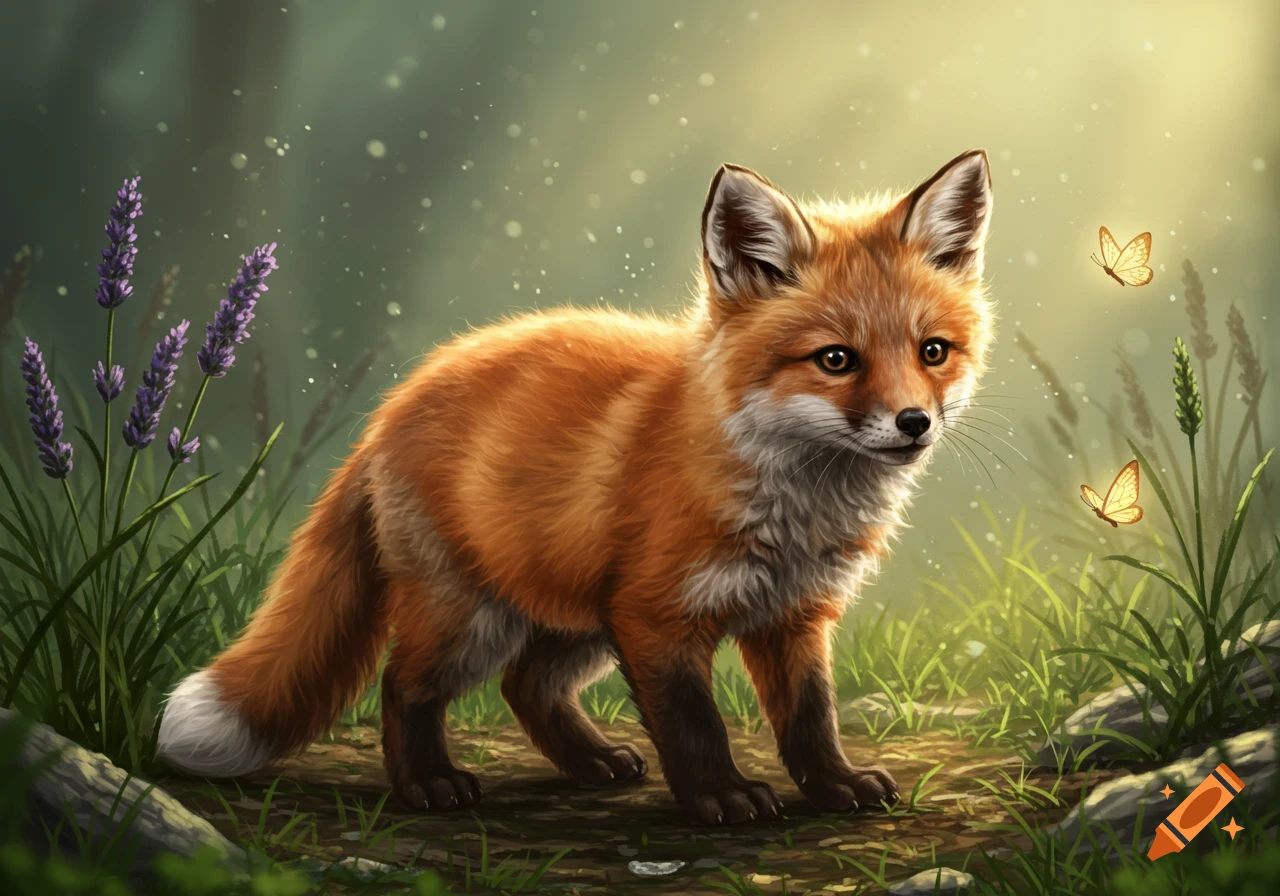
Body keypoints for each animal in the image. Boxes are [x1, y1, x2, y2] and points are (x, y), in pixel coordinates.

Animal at [156, 148, 995, 825]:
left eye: (932, 351)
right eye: (835, 360)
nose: (914, 423)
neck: (791, 506)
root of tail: (393, 404)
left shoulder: (793, 616)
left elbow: (810, 719)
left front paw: (833, 786)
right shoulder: (658, 618)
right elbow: (696, 724)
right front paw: (719, 798)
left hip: (577, 621)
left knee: (525, 687)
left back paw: (592, 763)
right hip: (473, 619)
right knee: (403, 684)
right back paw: (426, 784)